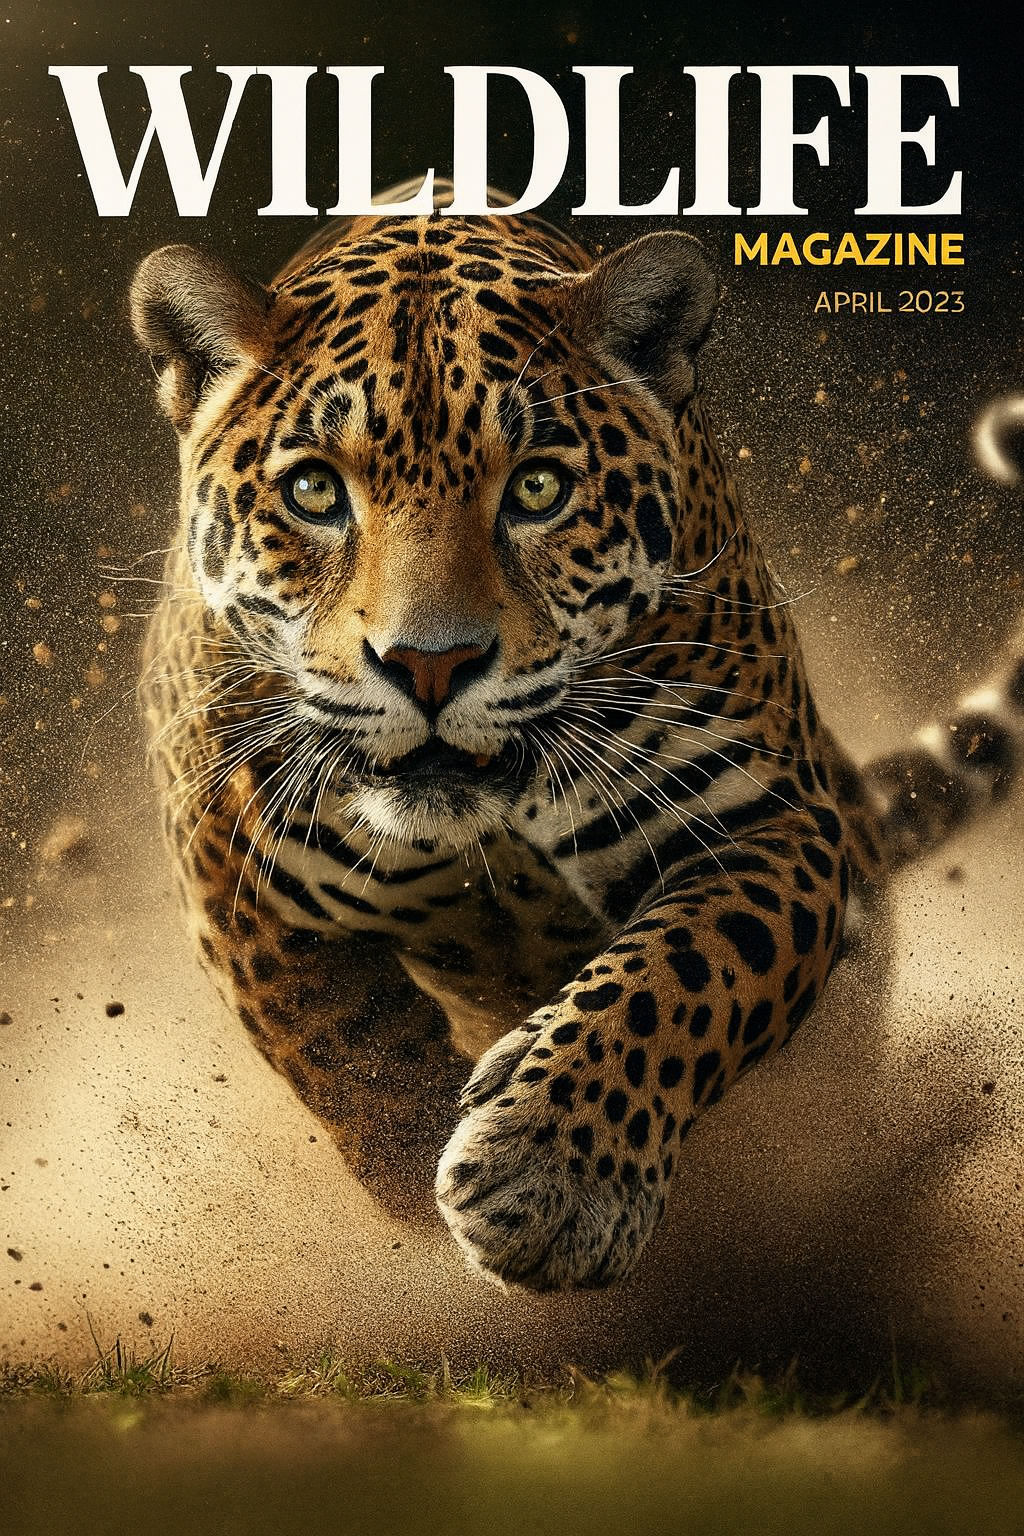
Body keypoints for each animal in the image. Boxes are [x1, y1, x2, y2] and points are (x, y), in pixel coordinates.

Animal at [129, 182, 1024, 1292]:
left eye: (538, 489)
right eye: (313, 492)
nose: (429, 663)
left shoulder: (767, 827)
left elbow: (683, 974)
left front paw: (552, 1180)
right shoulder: (230, 866)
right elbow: (343, 1047)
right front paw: (423, 1195)